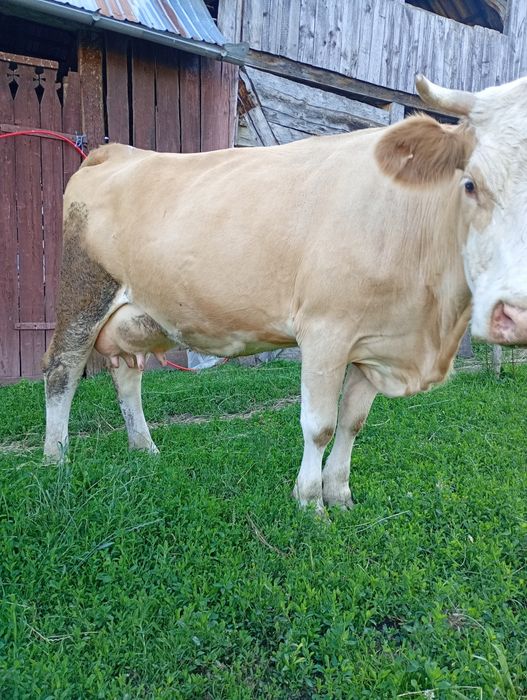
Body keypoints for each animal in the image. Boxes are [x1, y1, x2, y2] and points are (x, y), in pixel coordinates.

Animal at [43, 74, 527, 513]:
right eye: (470, 183)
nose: (515, 313)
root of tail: (116, 152)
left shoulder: (376, 339)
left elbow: (353, 423)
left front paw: (340, 495)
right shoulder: (325, 330)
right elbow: (320, 425)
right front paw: (311, 503)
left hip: (136, 315)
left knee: (127, 374)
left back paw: (144, 449)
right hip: (83, 293)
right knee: (60, 370)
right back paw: (55, 461)